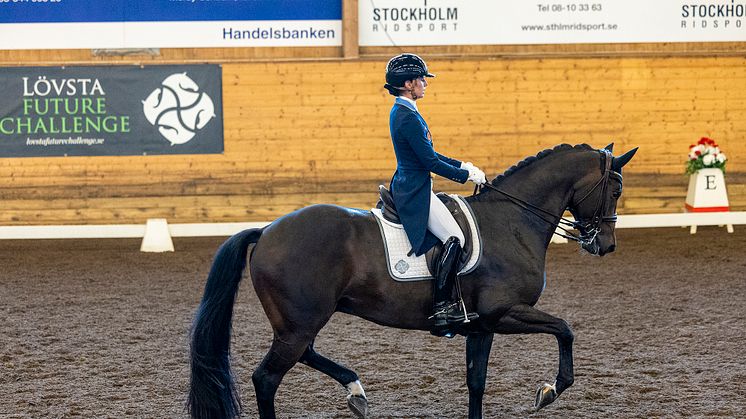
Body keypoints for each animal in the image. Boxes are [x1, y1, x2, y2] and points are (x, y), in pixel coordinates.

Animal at [189, 143, 636, 418]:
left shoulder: (482, 325)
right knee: (267, 378)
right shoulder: (505, 312)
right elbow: (565, 329)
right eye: (614, 190)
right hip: (299, 323)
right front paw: (549, 390)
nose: (606, 245)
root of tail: (266, 231)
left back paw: (356, 392)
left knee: (304, 355)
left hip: (299, 322)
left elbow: (476, 382)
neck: (512, 222)